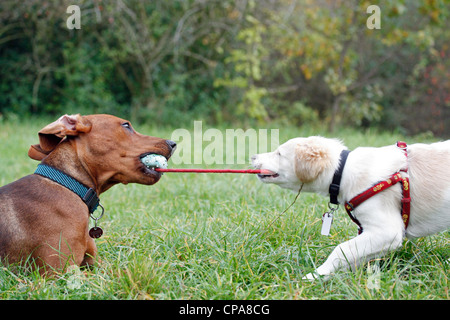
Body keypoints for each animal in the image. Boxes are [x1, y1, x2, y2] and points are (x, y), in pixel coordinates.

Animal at [253, 136, 450, 278]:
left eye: (279, 153)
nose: (253, 156)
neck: (342, 171)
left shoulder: (387, 231)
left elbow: (341, 250)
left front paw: (315, 276)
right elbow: (353, 256)